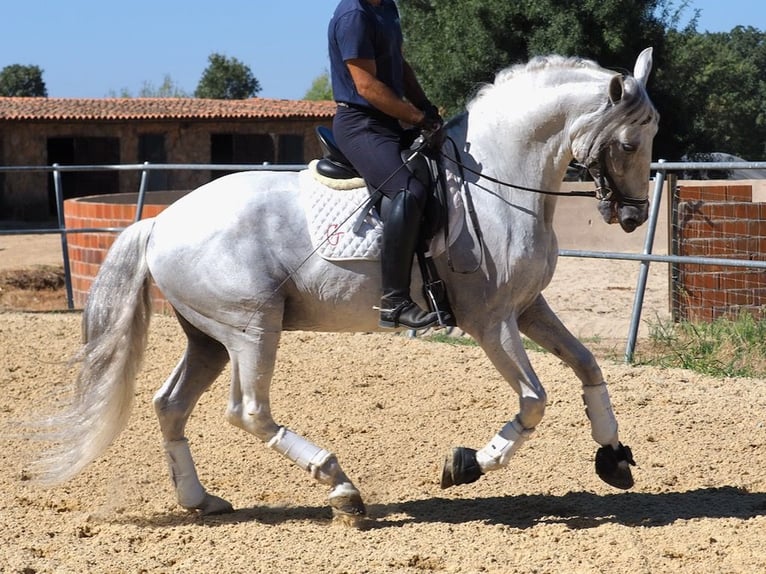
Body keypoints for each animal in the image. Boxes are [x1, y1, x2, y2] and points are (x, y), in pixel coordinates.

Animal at [28, 48, 660, 528]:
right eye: (630, 143)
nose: (633, 216)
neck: (498, 182)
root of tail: (159, 223)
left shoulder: (528, 308)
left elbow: (588, 366)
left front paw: (613, 456)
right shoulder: (490, 321)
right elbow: (533, 402)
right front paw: (466, 464)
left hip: (209, 338)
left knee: (170, 405)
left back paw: (200, 500)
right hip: (253, 328)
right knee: (249, 412)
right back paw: (342, 489)